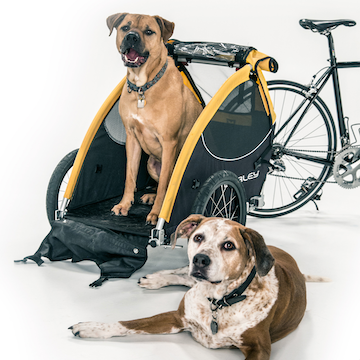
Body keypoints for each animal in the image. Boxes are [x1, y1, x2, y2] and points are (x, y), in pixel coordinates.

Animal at [70, 215, 326, 358]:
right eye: (198, 237)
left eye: (229, 245)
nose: (200, 259)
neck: (218, 301)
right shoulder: (176, 317)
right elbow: (128, 323)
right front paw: (92, 327)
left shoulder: (260, 348)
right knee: (184, 274)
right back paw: (155, 278)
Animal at [106, 13, 202, 225]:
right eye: (125, 28)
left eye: (149, 31)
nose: (132, 37)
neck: (144, 86)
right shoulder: (132, 138)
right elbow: (130, 177)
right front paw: (124, 205)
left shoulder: (169, 142)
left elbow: (166, 185)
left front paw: (157, 214)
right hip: (151, 163)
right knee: (156, 186)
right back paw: (150, 195)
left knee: (165, 187)